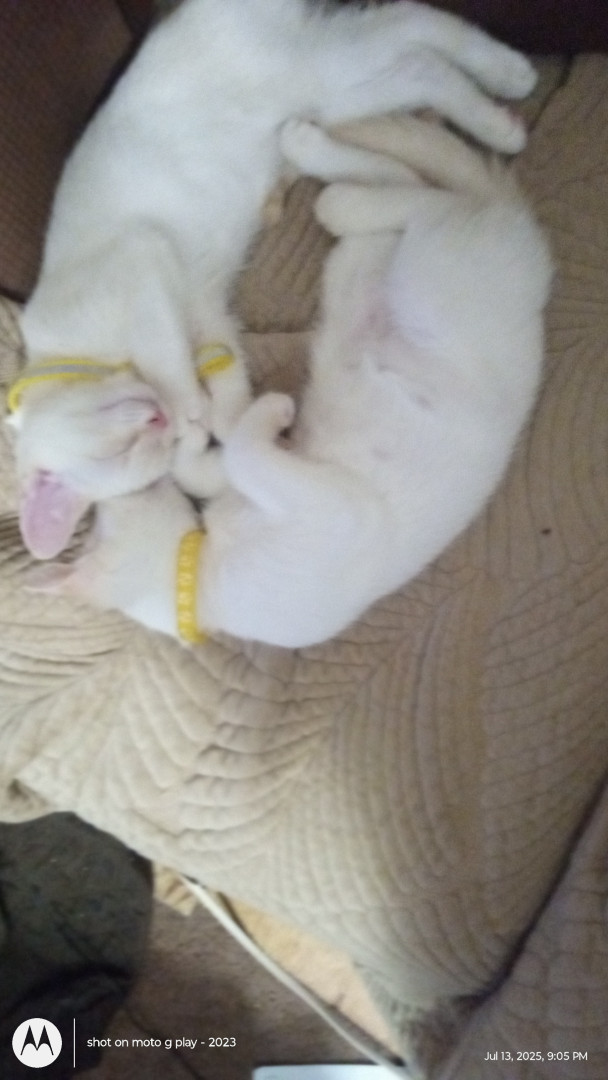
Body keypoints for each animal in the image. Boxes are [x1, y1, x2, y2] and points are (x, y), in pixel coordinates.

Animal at [7, 0, 538, 560]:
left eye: (116, 451)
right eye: (143, 454)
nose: (159, 420)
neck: (77, 353)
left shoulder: (139, 259)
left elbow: (164, 352)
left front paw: (189, 403)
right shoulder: (210, 316)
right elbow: (226, 392)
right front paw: (223, 419)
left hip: (315, 69)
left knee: (410, 30)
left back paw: (509, 81)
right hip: (333, 96)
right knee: (413, 62)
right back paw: (498, 110)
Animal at [29, 116, 552, 649]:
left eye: (109, 512)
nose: (161, 422)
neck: (205, 577)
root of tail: (525, 244)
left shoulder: (340, 510)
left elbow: (238, 451)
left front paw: (247, 415)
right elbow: (218, 463)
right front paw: (203, 437)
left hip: (422, 277)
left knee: (430, 199)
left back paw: (317, 158)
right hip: (359, 266)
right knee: (410, 189)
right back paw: (326, 163)